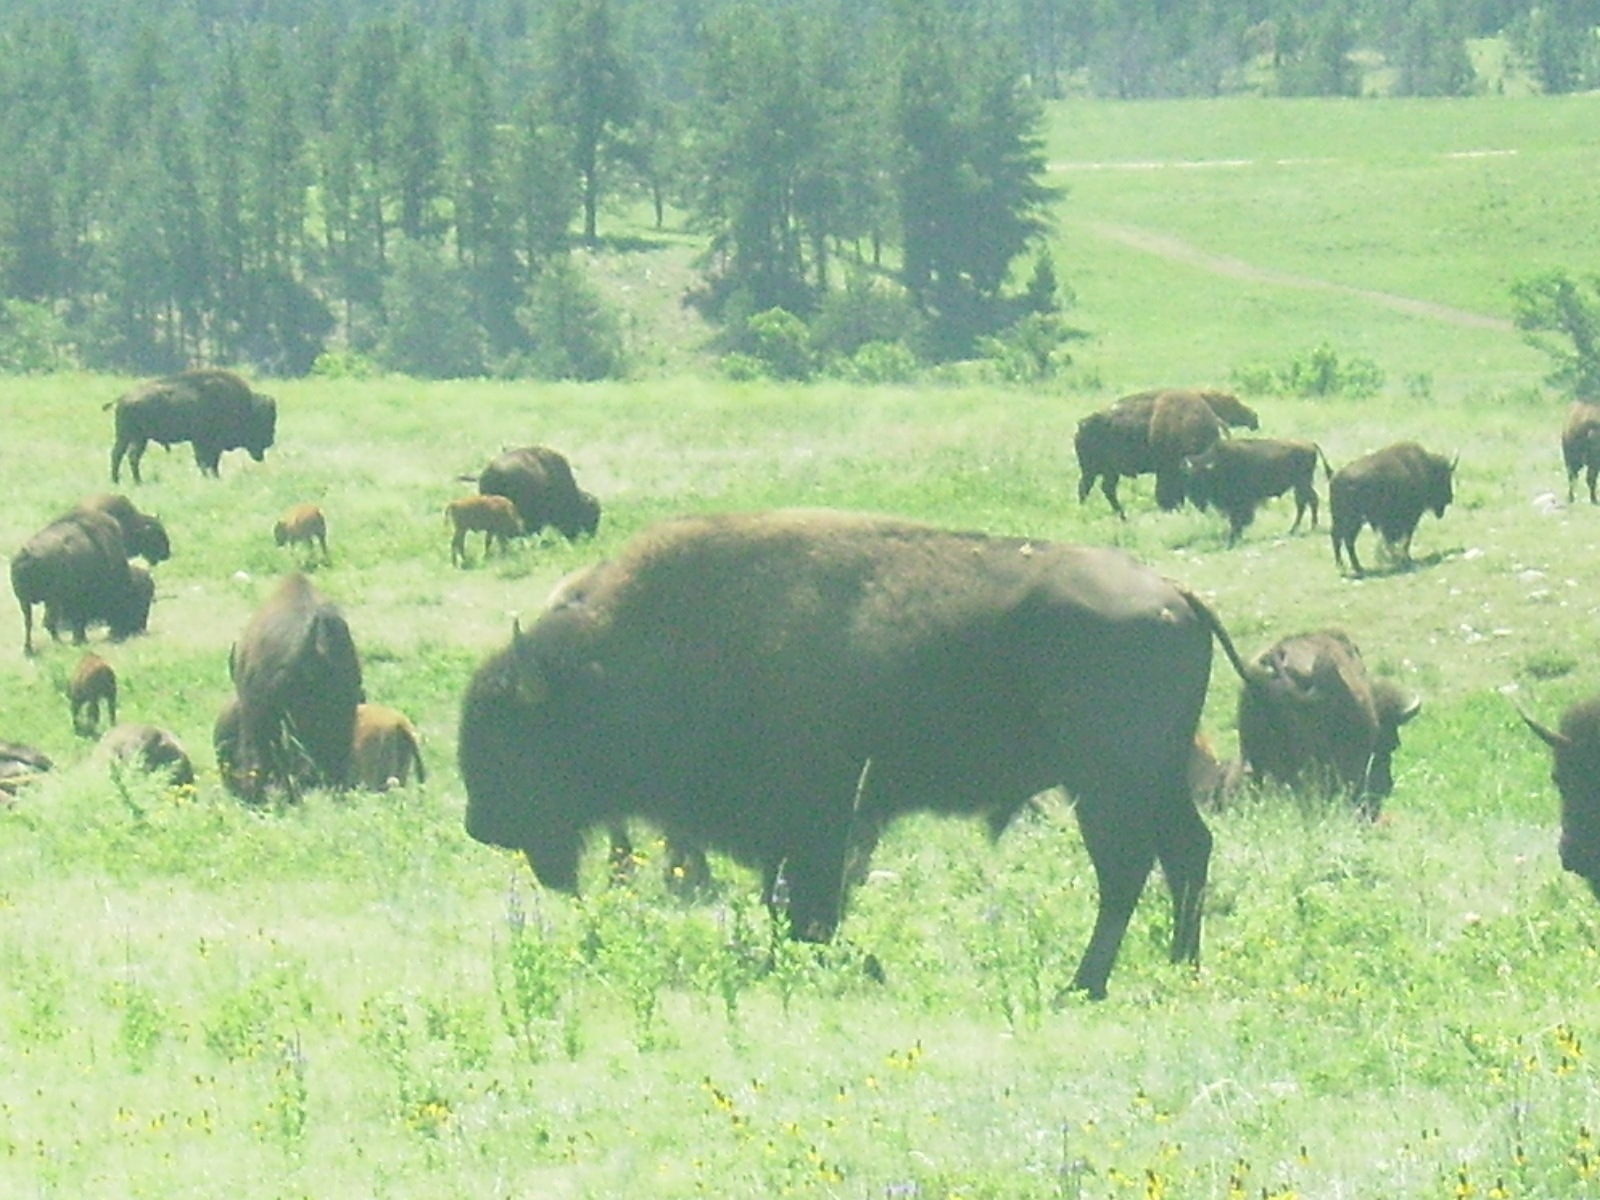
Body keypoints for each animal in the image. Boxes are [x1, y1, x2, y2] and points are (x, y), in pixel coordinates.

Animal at [12, 506, 155, 655]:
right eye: (138, 600)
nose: (140, 628)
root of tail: (27, 553)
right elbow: (79, 619)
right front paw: (81, 640)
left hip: (25, 601)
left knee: (29, 623)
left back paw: (29, 649)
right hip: (51, 600)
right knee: (48, 622)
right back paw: (59, 643)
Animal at [109, 367, 277, 483]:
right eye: (262, 422)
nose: (270, 441)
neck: (245, 406)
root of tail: (123, 397)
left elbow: (210, 461)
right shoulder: (203, 442)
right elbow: (207, 461)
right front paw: (211, 477)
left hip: (137, 438)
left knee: (128, 456)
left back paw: (131, 481)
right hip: (129, 437)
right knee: (121, 455)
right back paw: (122, 480)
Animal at [459, 508, 1247, 1000]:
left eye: (517, 732)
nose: (481, 822)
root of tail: (1174, 593)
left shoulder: (819, 822)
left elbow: (811, 903)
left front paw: (837, 962)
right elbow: (793, 902)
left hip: (1108, 783)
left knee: (1127, 869)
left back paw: (1084, 984)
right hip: (1151, 779)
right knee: (1186, 853)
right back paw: (1178, 967)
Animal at [1184, 438, 1332, 544]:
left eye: (1202, 477)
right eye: (1189, 478)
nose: (1195, 499)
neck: (1217, 466)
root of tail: (1310, 444)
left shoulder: (1242, 502)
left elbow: (1238, 519)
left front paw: (1234, 537)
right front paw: (1236, 536)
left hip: (1302, 483)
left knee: (1308, 501)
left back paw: (1305, 528)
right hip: (1300, 485)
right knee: (1306, 502)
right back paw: (1297, 529)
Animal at [1329, 441, 1456, 576]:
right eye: (1444, 476)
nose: (1450, 498)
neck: (1425, 467)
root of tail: (1336, 478)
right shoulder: (1410, 518)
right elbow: (1406, 539)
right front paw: (1403, 558)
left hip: (1341, 519)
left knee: (1339, 538)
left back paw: (1346, 567)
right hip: (1353, 520)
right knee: (1347, 540)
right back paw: (1356, 568)